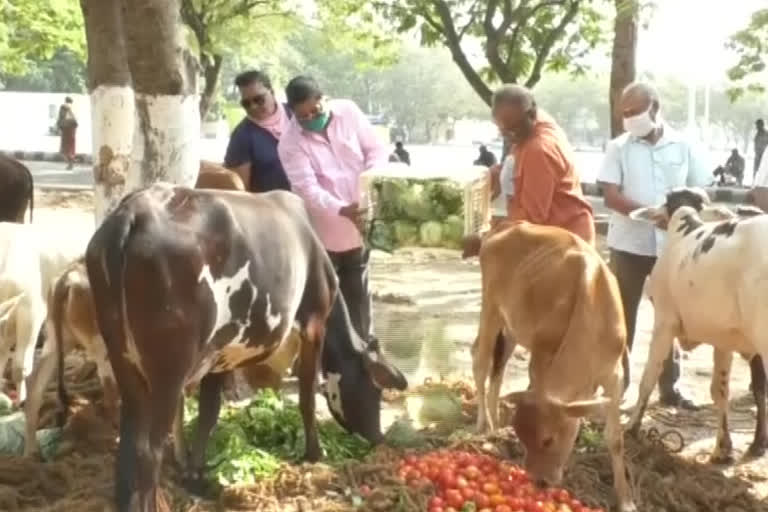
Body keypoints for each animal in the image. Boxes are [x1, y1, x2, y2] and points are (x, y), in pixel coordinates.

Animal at [84, 184, 408, 512]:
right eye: (375, 388)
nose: (378, 437)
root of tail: (134, 210)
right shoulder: (313, 323)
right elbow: (307, 397)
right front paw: (314, 454)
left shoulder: (219, 353)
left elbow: (208, 414)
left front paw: (195, 475)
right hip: (169, 366)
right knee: (149, 450)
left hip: (123, 357)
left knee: (130, 442)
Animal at [474, 220, 636, 512]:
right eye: (522, 438)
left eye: (548, 439)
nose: (540, 482)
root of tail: (507, 224)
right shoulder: (540, 360)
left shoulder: (614, 375)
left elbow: (615, 439)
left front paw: (625, 499)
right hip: (491, 307)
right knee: (481, 364)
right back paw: (485, 423)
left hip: (512, 327)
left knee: (497, 370)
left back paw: (495, 425)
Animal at [624, 188, 768, 460]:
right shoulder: (725, 337)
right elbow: (719, 391)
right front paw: (723, 448)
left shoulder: (664, 321)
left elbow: (648, 377)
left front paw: (631, 428)